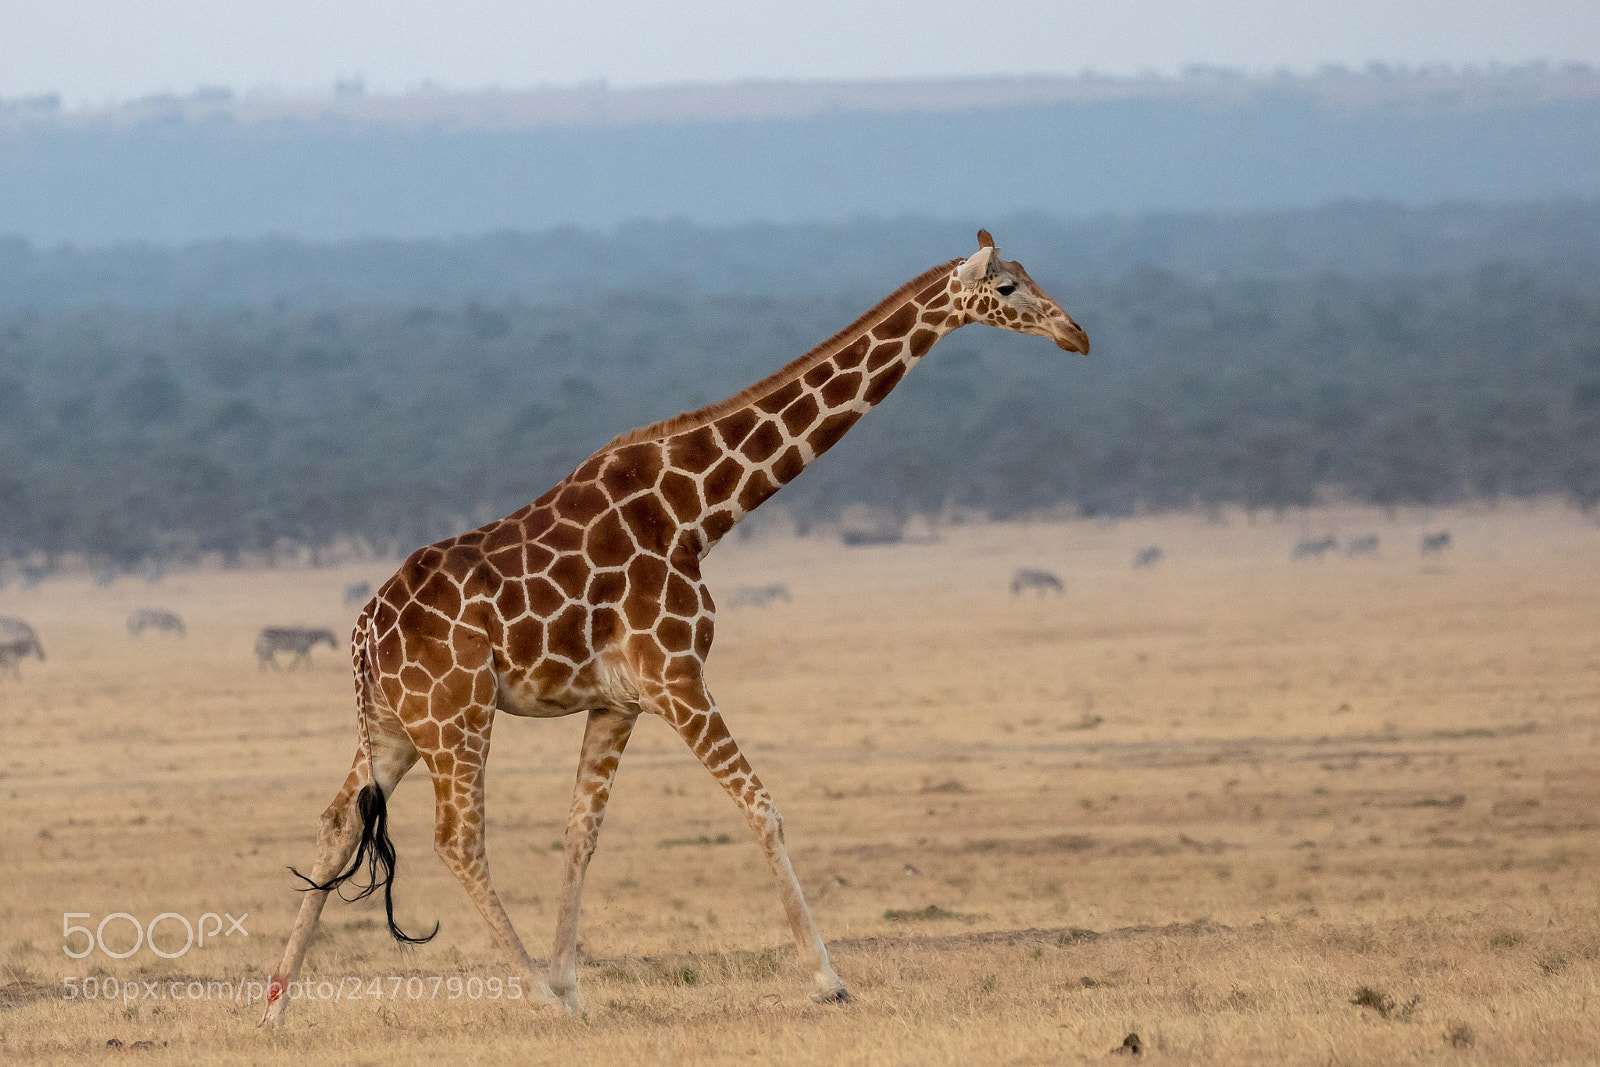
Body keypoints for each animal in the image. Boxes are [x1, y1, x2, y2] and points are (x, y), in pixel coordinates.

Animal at [260, 231, 1089, 1025]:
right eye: (1007, 285)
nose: (1075, 334)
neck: (699, 510)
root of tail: (365, 631)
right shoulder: (677, 675)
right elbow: (762, 806)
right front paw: (827, 979)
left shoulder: (617, 700)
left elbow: (581, 832)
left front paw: (573, 980)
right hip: (455, 714)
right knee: (457, 840)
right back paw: (534, 996)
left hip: (395, 724)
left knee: (338, 818)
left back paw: (276, 1004)